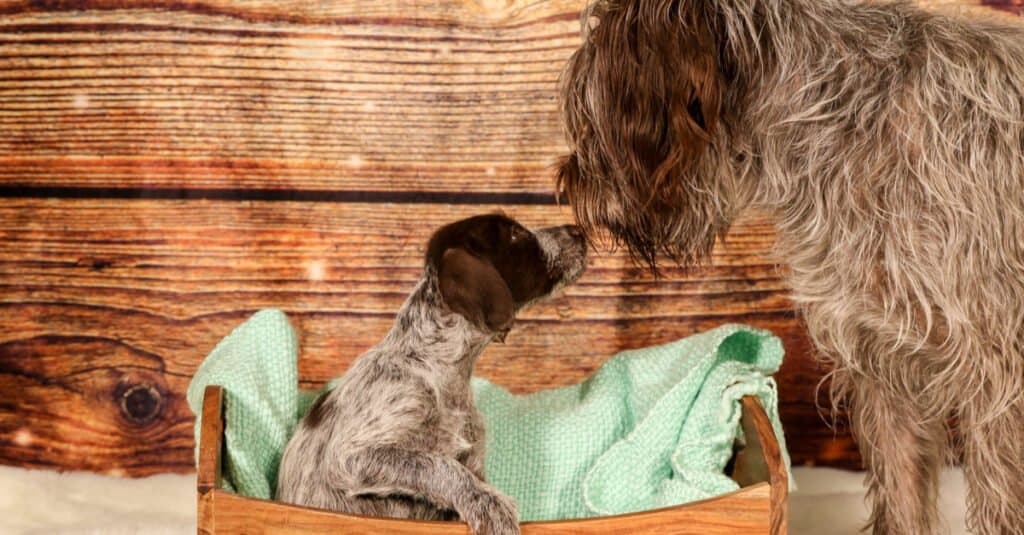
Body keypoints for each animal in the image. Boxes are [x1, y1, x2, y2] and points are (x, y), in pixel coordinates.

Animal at [276, 212, 589, 532]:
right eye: (515, 234)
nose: (578, 230)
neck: (439, 367)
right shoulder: (351, 456)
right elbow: (438, 464)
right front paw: (489, 503)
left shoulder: (472, 460)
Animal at [557, 1, 1024, 532]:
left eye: (590, 116)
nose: (567, 182)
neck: (853, 122)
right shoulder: (885, 361)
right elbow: (901, 495)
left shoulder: (998, 382)